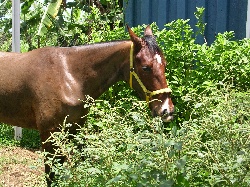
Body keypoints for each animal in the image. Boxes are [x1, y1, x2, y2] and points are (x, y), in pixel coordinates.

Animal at [0, 25, 174, 186]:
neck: (68, 76)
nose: (167, 110)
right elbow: (51, 176)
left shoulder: (75, 128)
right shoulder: (49, 134)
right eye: (145, 67)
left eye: (164, 64)